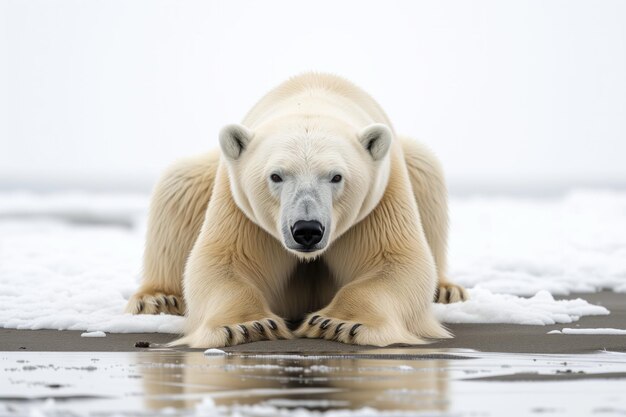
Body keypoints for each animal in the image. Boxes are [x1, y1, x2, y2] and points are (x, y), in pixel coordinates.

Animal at [124, 73, 466, 346]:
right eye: (276, 175)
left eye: (336, 176)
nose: (307, 230)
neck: (312, 95)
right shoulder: (239, 207)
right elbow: (221, 263)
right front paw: (247, 325)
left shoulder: (380, 200)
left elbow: (398, 264)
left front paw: (338, 323)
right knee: (179, 184)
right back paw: (157, 298)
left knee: (425, 169)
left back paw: (447, 291)